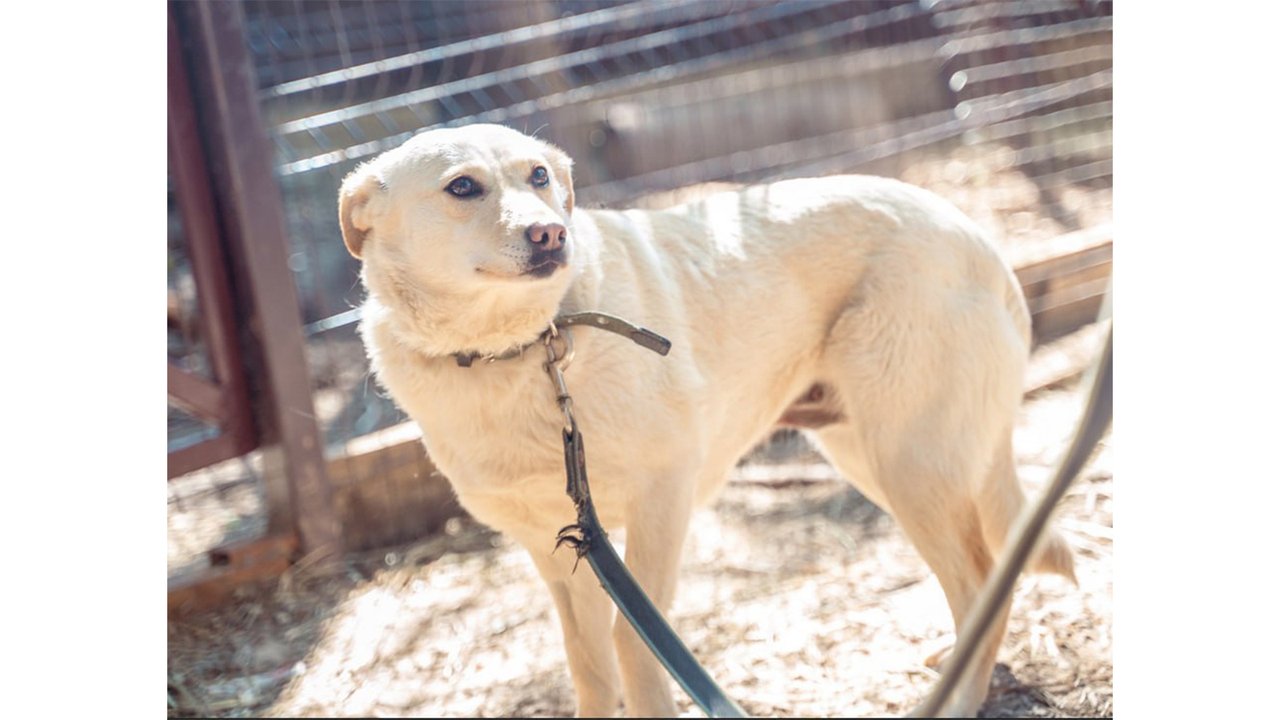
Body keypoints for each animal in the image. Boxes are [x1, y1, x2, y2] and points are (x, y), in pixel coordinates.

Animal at [335, 124, 1075, 717]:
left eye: (539, 176)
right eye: (462, 187)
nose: (551, 233)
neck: (523, 348)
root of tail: (978, 237)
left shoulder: (663, 501)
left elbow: (636, 646)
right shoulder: (556, 542)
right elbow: (589, 662)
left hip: (909, 463)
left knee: (979, 576)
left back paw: (958, 697)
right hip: (870, 457)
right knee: (986, 573)